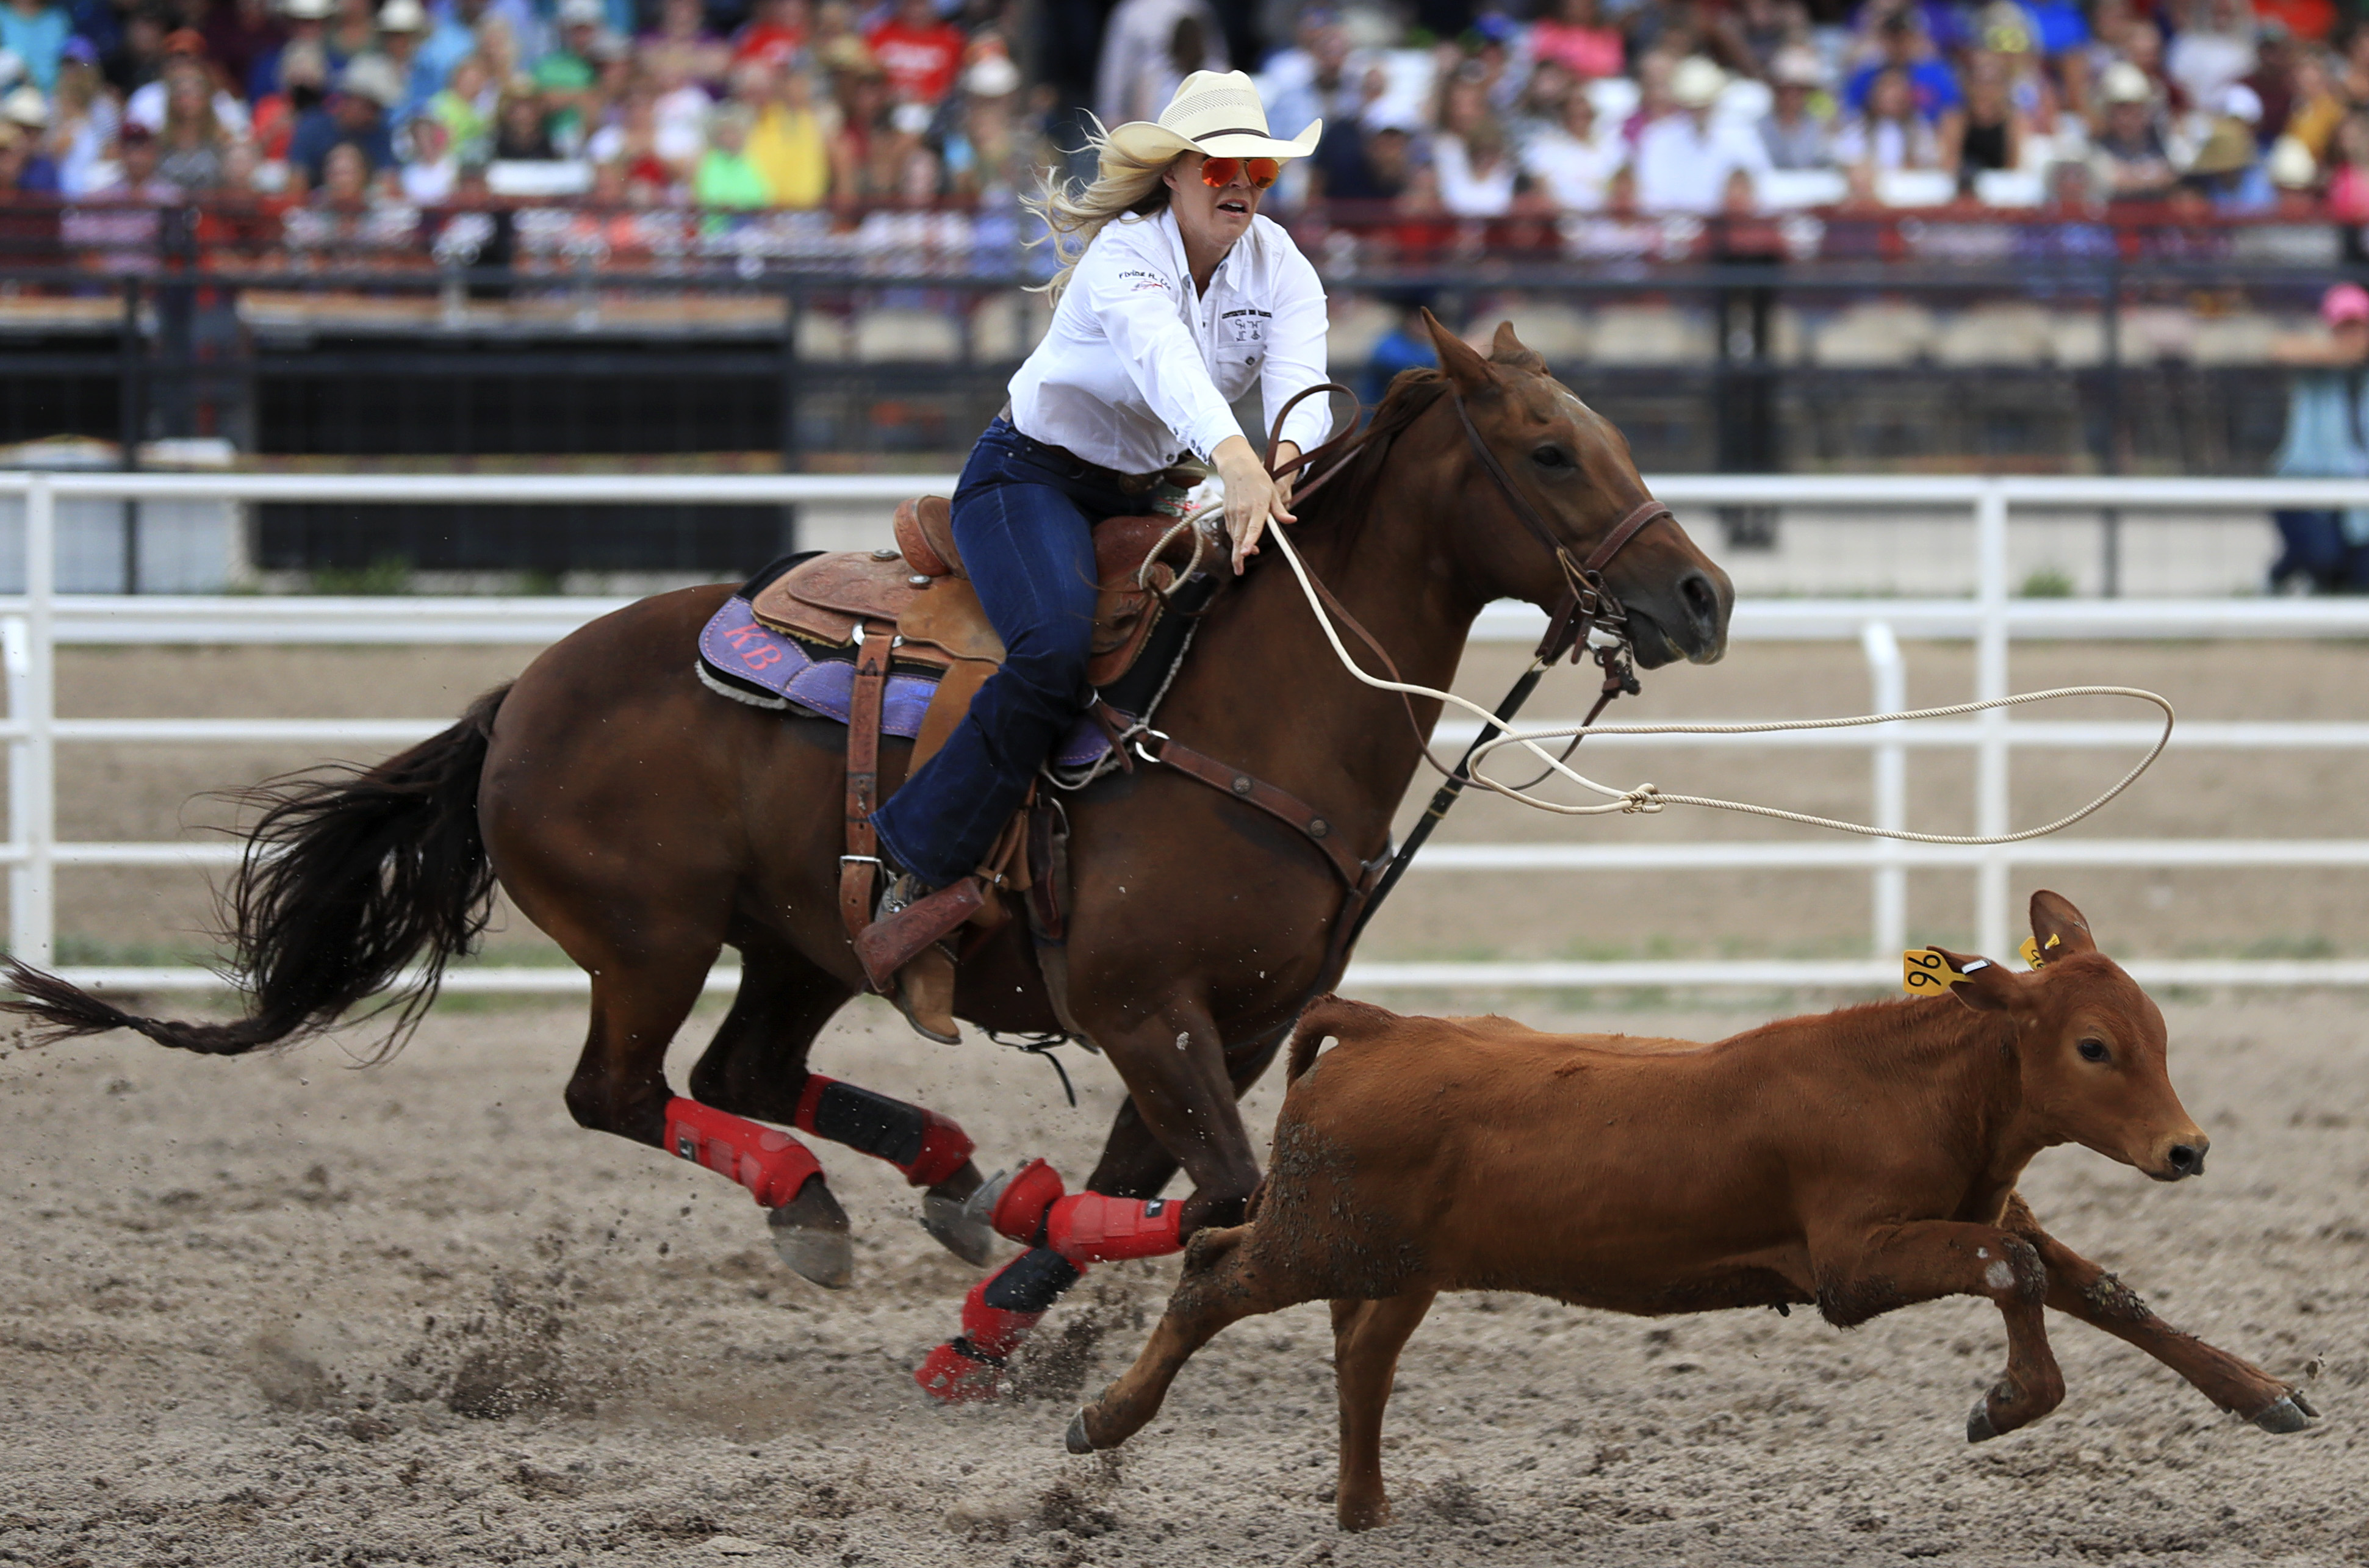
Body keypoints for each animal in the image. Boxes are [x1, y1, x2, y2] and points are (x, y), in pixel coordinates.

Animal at [4, 317, 1743, 1392]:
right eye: (1547, 449)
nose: (1702, 597)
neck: (1253, 704)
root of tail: (520, 700)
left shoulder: (1235, 1023)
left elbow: (1171, 1180)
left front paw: (990, 1316)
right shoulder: (1140, 1005)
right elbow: (1227, 1196)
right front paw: (1025, 1256)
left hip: (799, 939)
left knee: (749, 1068)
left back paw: (941, 1181)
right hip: (647, 936)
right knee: (623, 1091)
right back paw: (818, 1202)